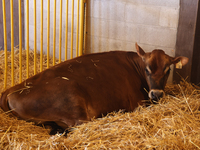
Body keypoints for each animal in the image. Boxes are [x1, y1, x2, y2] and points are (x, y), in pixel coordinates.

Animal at [0, 43, 188, 135]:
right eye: (147, 69)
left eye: (167, 69)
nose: (156, 94)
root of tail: (11, 89)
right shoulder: (138, 104)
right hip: (75, 104)